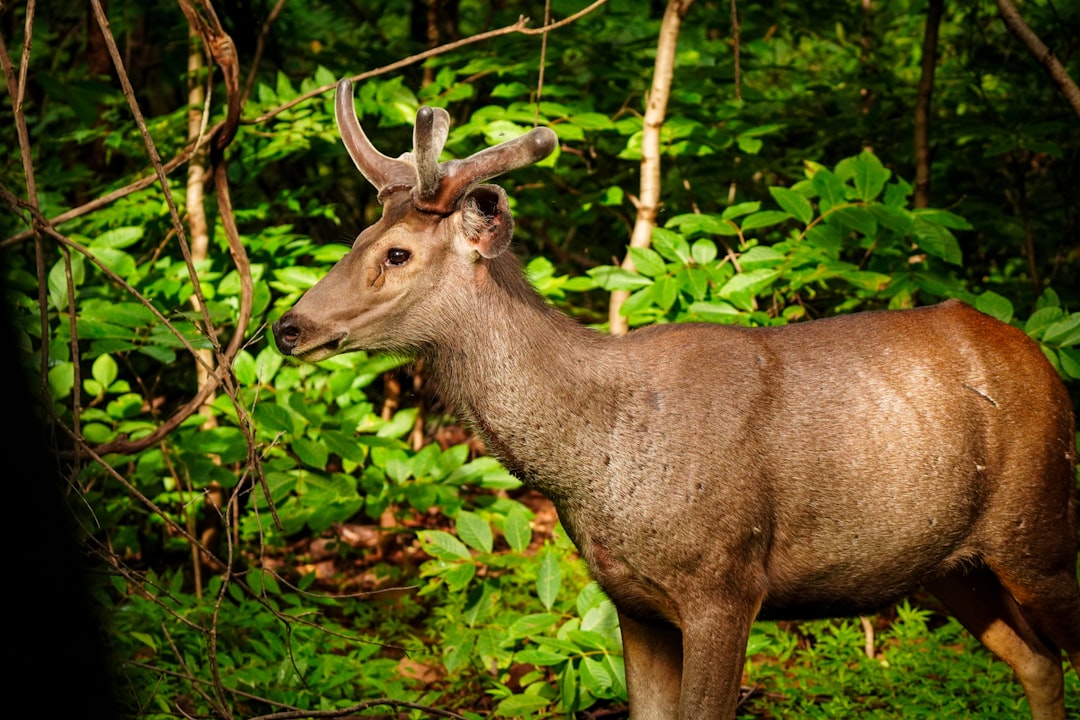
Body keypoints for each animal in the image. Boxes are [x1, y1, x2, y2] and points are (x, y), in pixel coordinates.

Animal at [272, 79, 1080, 720]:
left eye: (397, 253)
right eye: (358, 236)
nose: (288, 326)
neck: (596, 461)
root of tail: (1044, 359)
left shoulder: (726, 580)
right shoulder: (632, 601)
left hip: (1039, 527)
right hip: (953, 566)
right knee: (1040, 662)